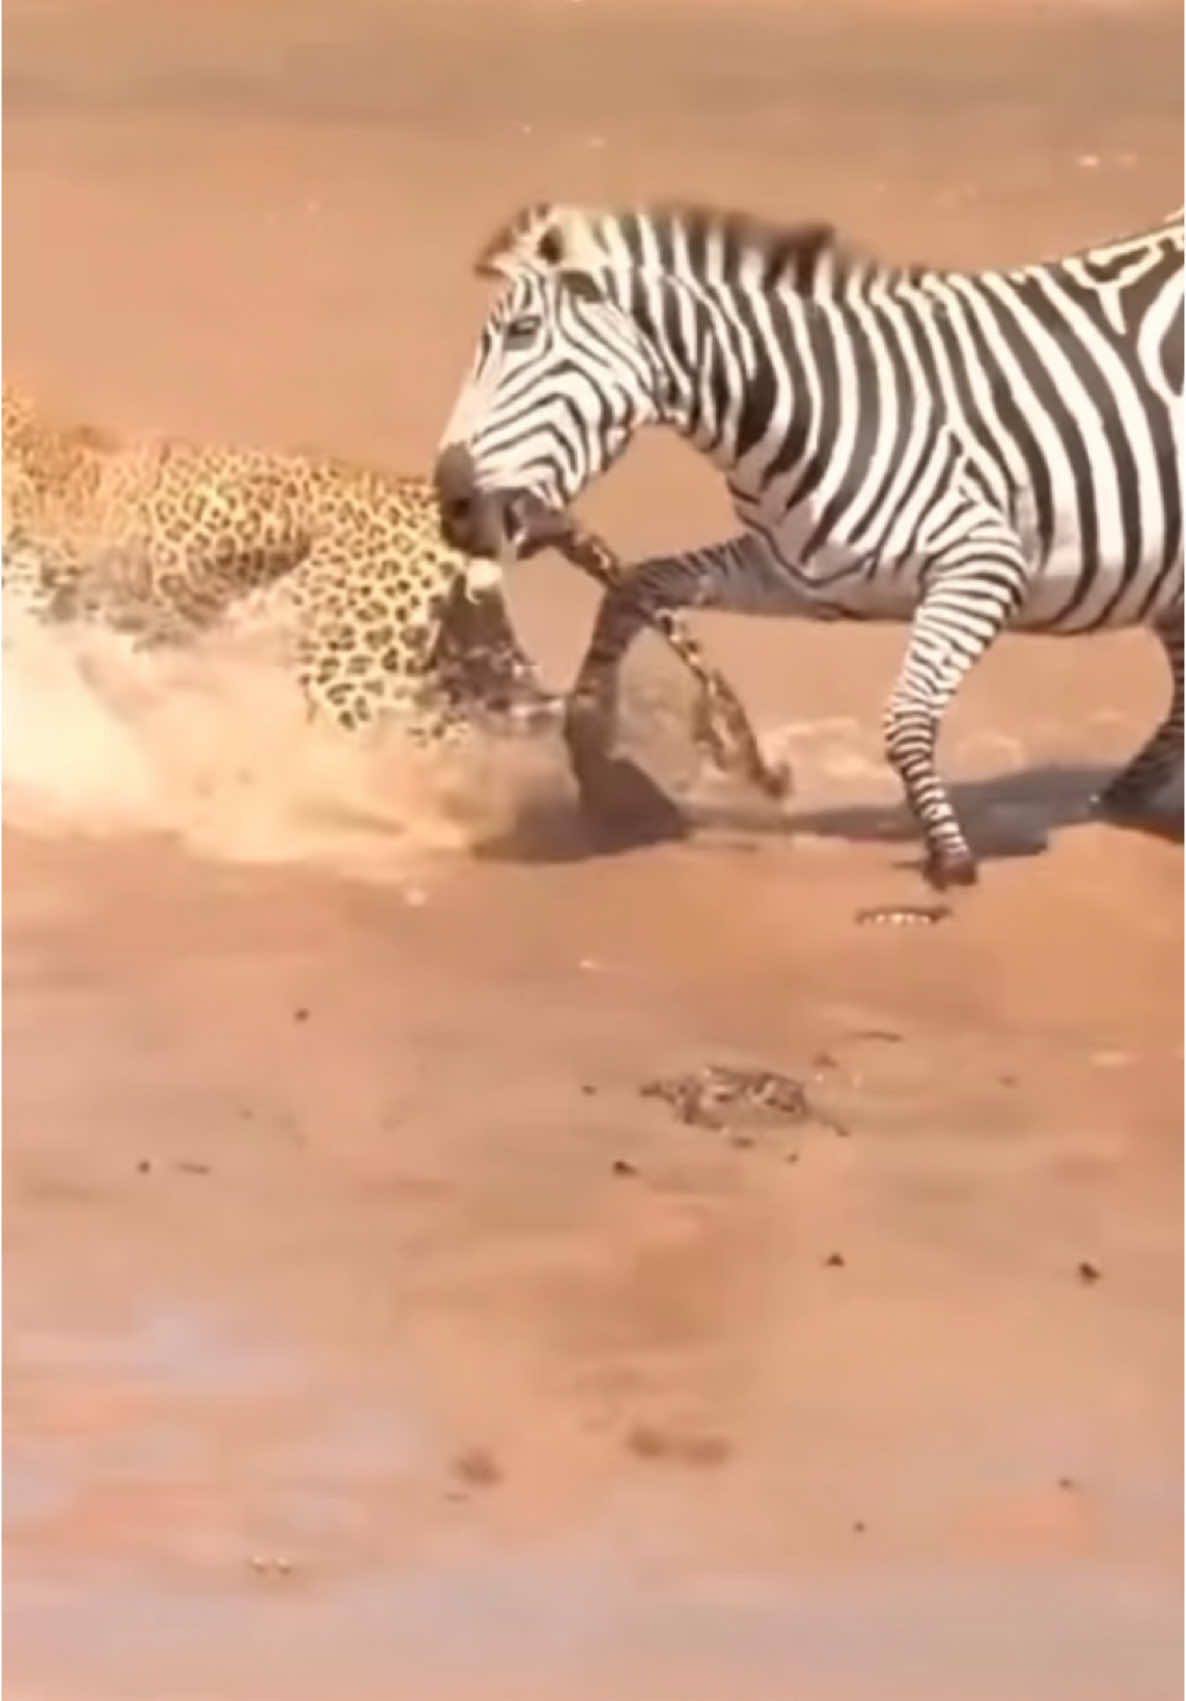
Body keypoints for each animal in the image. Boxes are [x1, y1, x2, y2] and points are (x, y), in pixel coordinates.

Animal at [432, 205, 1177, 884]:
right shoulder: (794, 573)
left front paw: (950, 859)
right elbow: (638, 586)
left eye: (524, 334)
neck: (814, 403)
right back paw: (1120, 799)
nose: (452, 504)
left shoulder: (983, 561)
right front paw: (595, 755)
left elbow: (906, 718)